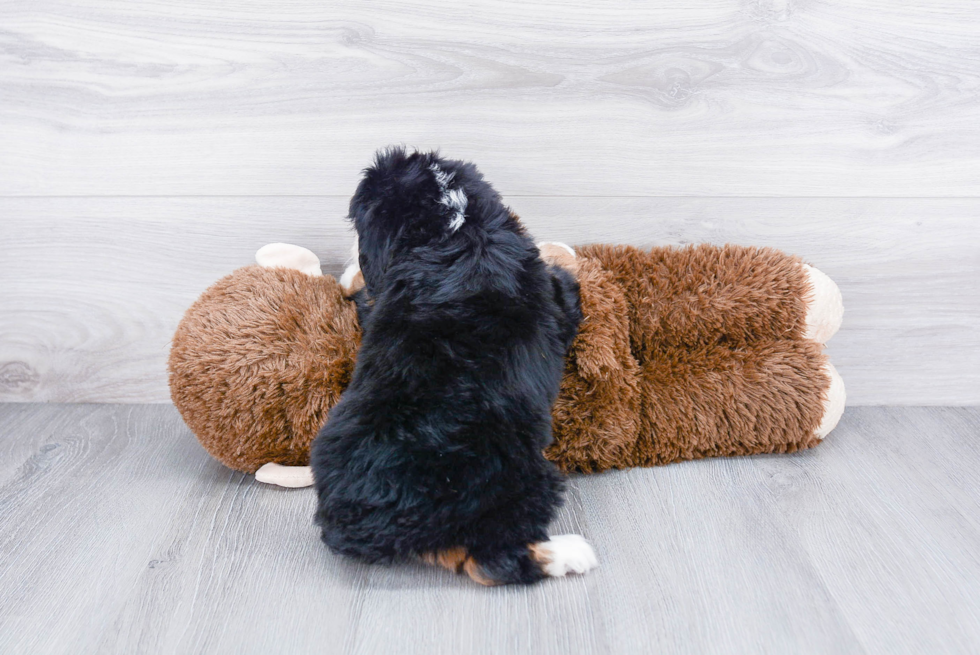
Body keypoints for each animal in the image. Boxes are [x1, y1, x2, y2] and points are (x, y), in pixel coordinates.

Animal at [312, 147, 596, 584]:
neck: (453, 228)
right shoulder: (560, 300)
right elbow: (562, 271)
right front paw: (562, 248)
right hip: (527, 478)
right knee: (495, 560)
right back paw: (570, 553)